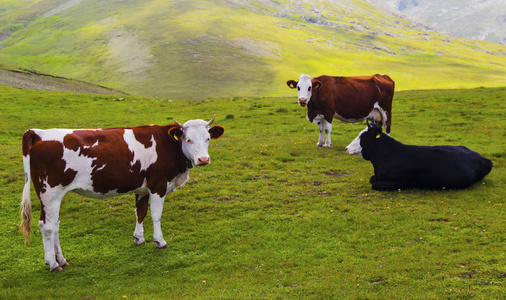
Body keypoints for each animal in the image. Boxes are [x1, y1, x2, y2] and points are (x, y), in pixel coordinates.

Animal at [20, 116, 224, 270]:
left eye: (207, 138)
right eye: (188, 139)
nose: (203, 159)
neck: (168, 144)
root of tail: (39, 133)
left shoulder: (142, 188)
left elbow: (140, 212)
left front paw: (139, 238)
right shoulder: (158, 185)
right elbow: (156, 215)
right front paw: (160, 241)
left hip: (50, 197)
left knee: (52, 225)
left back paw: (60, 260)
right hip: (50, 193)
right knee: (48, 227)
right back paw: (53, 264)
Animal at [346, 119, 492, 190]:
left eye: (362, 136)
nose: (347, 148)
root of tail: (484, 158)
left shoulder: (400, 182)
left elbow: (374, 183)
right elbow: (372, 179)